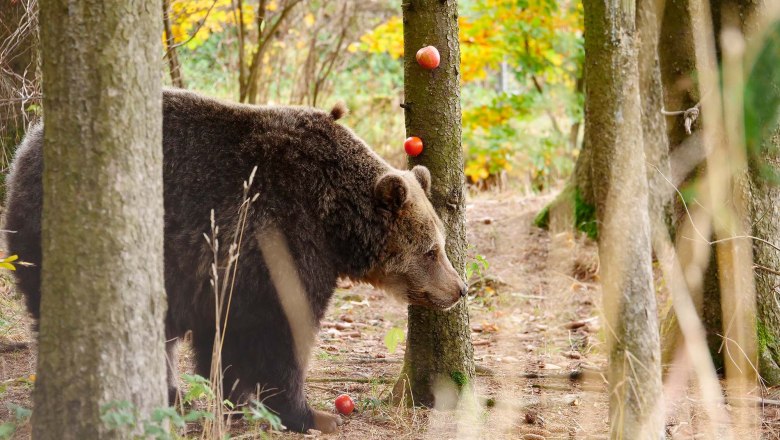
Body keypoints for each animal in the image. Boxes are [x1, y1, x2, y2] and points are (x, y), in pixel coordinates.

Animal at [3, 88, 466, 434]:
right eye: (432, 250)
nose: (459, 288)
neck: (334, 219)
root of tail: (26, 146)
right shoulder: (276, 238)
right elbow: (278, 333)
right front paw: (310, 414)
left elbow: (225, 341)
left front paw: (236, 402)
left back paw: (170, 394)